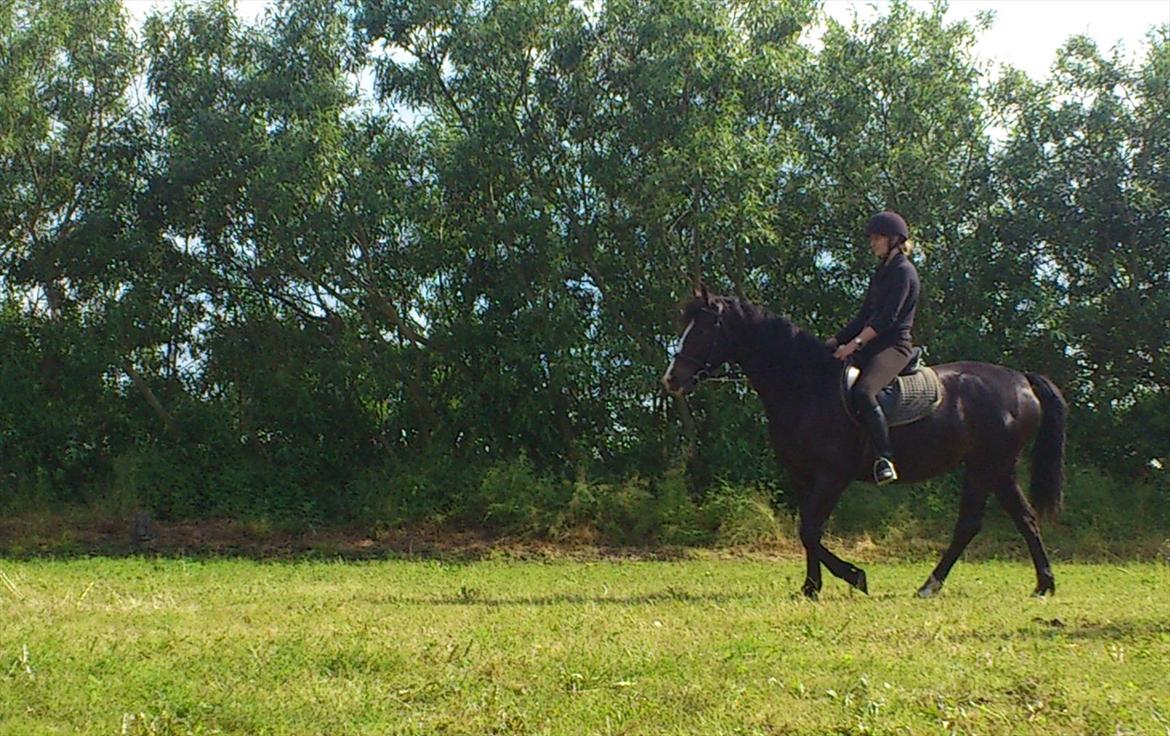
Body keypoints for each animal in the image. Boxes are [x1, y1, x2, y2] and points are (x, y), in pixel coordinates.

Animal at [664, 284, 1067, 599]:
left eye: (702, 331)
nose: (671, 379)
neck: (806, 385)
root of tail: (1021, 380)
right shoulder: (802, 475)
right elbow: (808, 530)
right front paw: (811, 587)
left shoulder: (832, 474)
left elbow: (809, 529)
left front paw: (854, 576)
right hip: (1000, 469)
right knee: (1025, 518)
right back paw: (1043, 584)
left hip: (985, 467)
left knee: (969, 524)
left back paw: (930, 585)